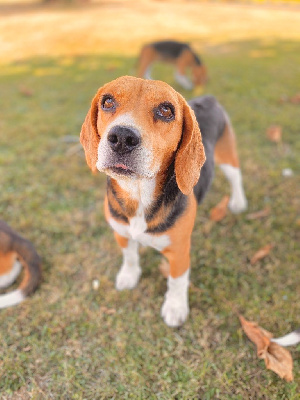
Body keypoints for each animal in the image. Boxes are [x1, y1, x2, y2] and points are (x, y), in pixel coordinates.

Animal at [79, 76, 246, 328]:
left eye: (166, 110)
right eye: (107, 101)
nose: (122, 138)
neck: (139, 193)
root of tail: (209, 99)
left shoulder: (179, 252)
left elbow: (176, 282)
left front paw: (175, 308)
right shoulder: (121, 233)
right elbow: (130, 257)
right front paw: (129, 276)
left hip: (227, 157)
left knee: (236, 177)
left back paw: (238, 202)